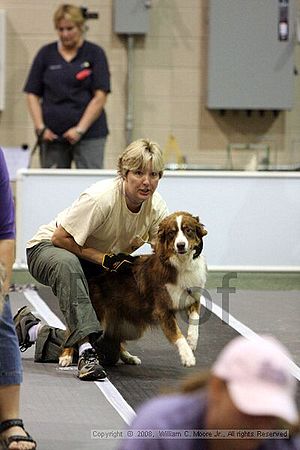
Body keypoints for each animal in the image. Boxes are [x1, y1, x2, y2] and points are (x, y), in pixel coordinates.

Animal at [60, 213, 207, 368]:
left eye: (188, 230)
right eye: (172, 233)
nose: (180, 245)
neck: (181, 263)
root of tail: (91, 275)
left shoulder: (192, 297)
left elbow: (195, 319)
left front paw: (192, 341)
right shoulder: (162, 310)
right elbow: (177, 334)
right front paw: (187, 356)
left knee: (115, 340)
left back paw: (128, 357)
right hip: (97, 313)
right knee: (76, 331)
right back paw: (66, 356)